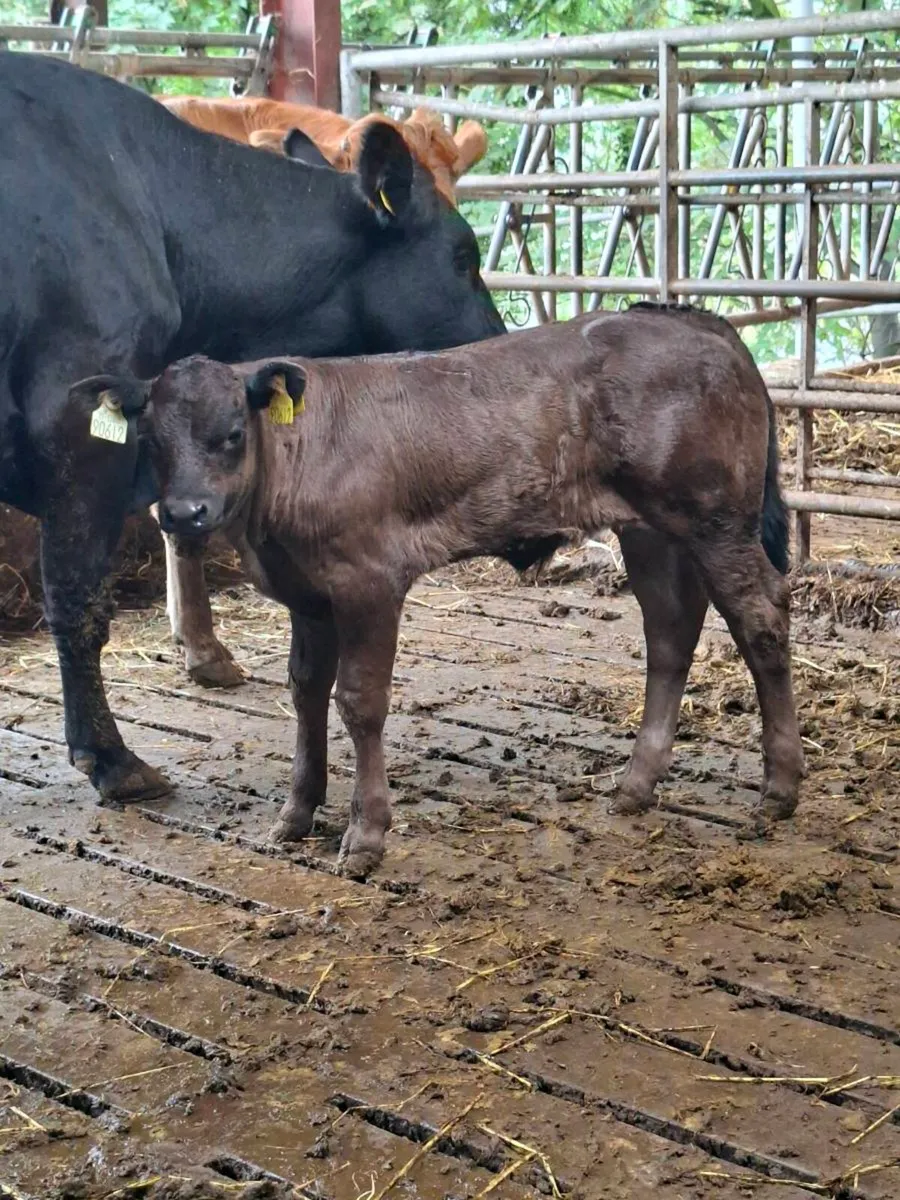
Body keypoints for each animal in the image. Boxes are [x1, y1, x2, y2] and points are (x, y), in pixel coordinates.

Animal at [71, 304, 806, 878]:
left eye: (230, 434)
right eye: (150, 440)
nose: (183, 513)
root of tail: (692, 319)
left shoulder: (370, 580)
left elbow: (358, 701)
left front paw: (366, 833)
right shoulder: (308, 594)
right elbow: (306, 692)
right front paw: (297, 812)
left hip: (715, 520)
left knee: (760, 618)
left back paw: (780, 787)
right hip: (650, 528)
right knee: (671, 631)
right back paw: (637, 782)